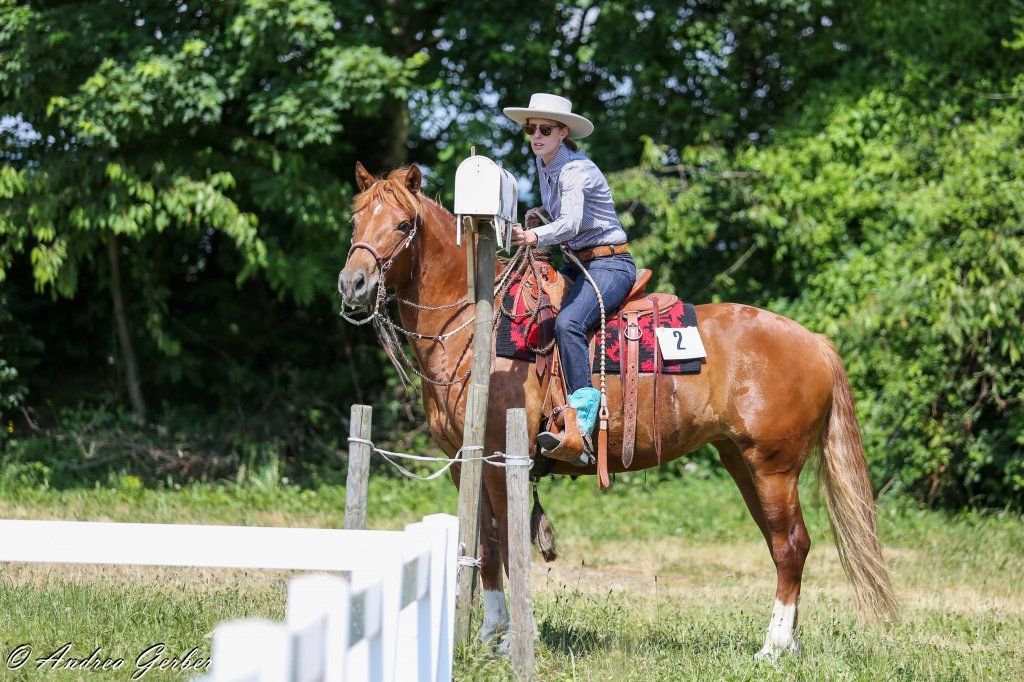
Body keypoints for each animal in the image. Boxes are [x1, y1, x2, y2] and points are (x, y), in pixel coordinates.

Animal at [337, 162, 898, 659]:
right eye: (355, 219)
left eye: (403, 224)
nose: (354, 284)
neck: (475, 326)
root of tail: (817, 342)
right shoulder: (463, 463)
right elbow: (483, 546)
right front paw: (490, 636)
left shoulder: (498, 457)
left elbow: (504, 542)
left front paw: (511, 639)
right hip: (742, 462)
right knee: (781, 543)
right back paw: (789, 642)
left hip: (773, 467)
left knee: (791, 545)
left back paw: (773, 647)